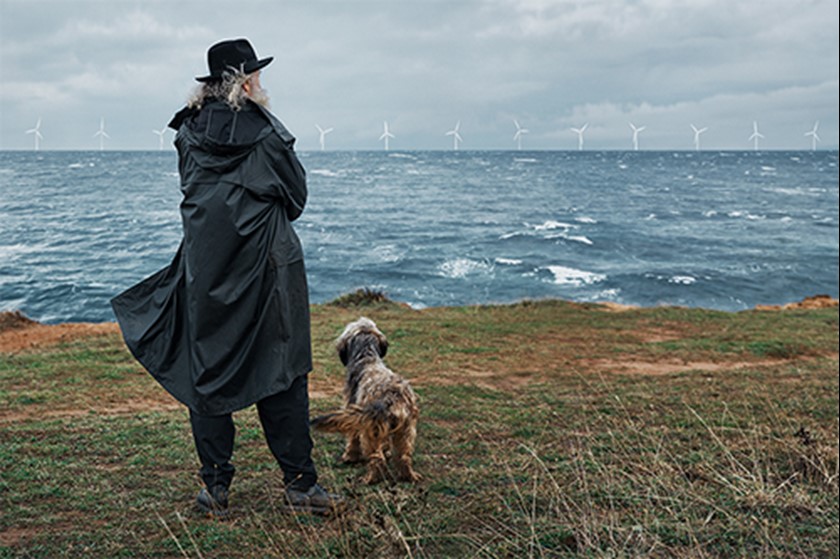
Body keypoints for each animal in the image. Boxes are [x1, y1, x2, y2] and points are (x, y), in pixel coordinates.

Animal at [310, 320, 420, 486]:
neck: (366, 356)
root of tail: (392, 398)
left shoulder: (354, 411)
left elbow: (353, 437)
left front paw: (350, 456)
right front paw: (387, 450)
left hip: (370, 430)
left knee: (377, 458)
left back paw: (371, 478)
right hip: (406, 430)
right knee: (404, 455)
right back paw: (407, 476)